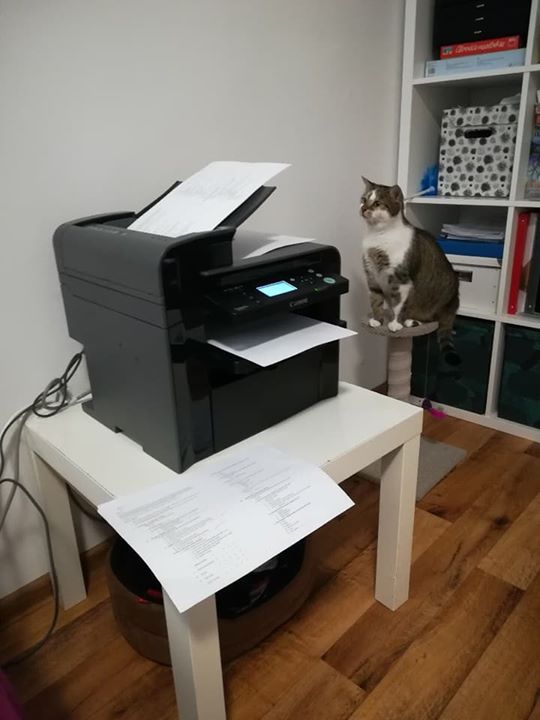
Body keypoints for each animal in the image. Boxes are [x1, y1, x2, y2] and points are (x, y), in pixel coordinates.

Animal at [360, 177, 460, 364]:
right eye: (363, 199)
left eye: (377, 203)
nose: (363, 209)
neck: (378, 237)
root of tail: (453, 303)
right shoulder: (372, 276)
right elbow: (375, 300)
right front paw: (377, 320)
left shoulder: (401, 279)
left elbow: (399, 303)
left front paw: (394, 323)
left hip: (432, 301)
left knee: (431, 318)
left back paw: (410, 322)